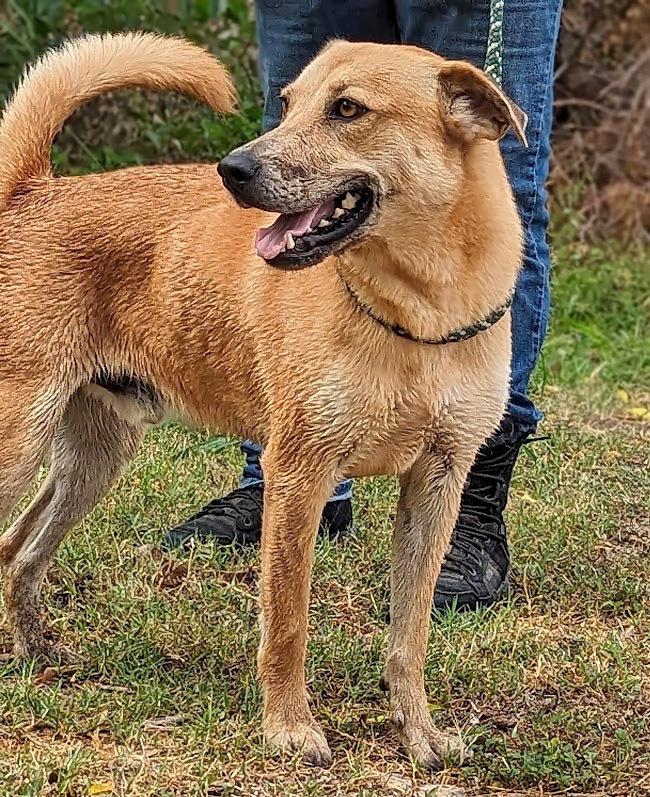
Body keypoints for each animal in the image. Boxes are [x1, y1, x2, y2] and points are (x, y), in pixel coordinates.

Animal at [0, 34, 528, 768]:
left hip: (94, 457)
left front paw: (417, 731)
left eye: (347, 108)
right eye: (287, 102)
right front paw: (288, 727)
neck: (418, 314)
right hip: (21, 440)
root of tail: (34, 190)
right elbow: (287, 623)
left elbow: (410, 632)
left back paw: (36, 653)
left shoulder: (439, 481)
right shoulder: (298, 475)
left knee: (18, 549)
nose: (233, 169)